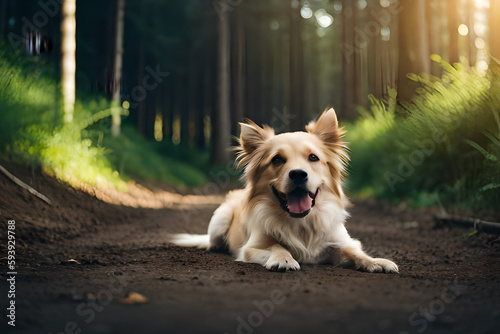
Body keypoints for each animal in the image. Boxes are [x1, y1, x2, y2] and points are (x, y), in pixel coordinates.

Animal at [168, 109, 398, 274]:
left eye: (313, 157)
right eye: (277, 159)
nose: (298, 174)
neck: (301, 222)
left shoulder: (340, 242)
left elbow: (354, 251)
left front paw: (376, 261)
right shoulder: (252, 247)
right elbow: (278, 246)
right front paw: (284, 259)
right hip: (220, 218)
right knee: (212, 241)